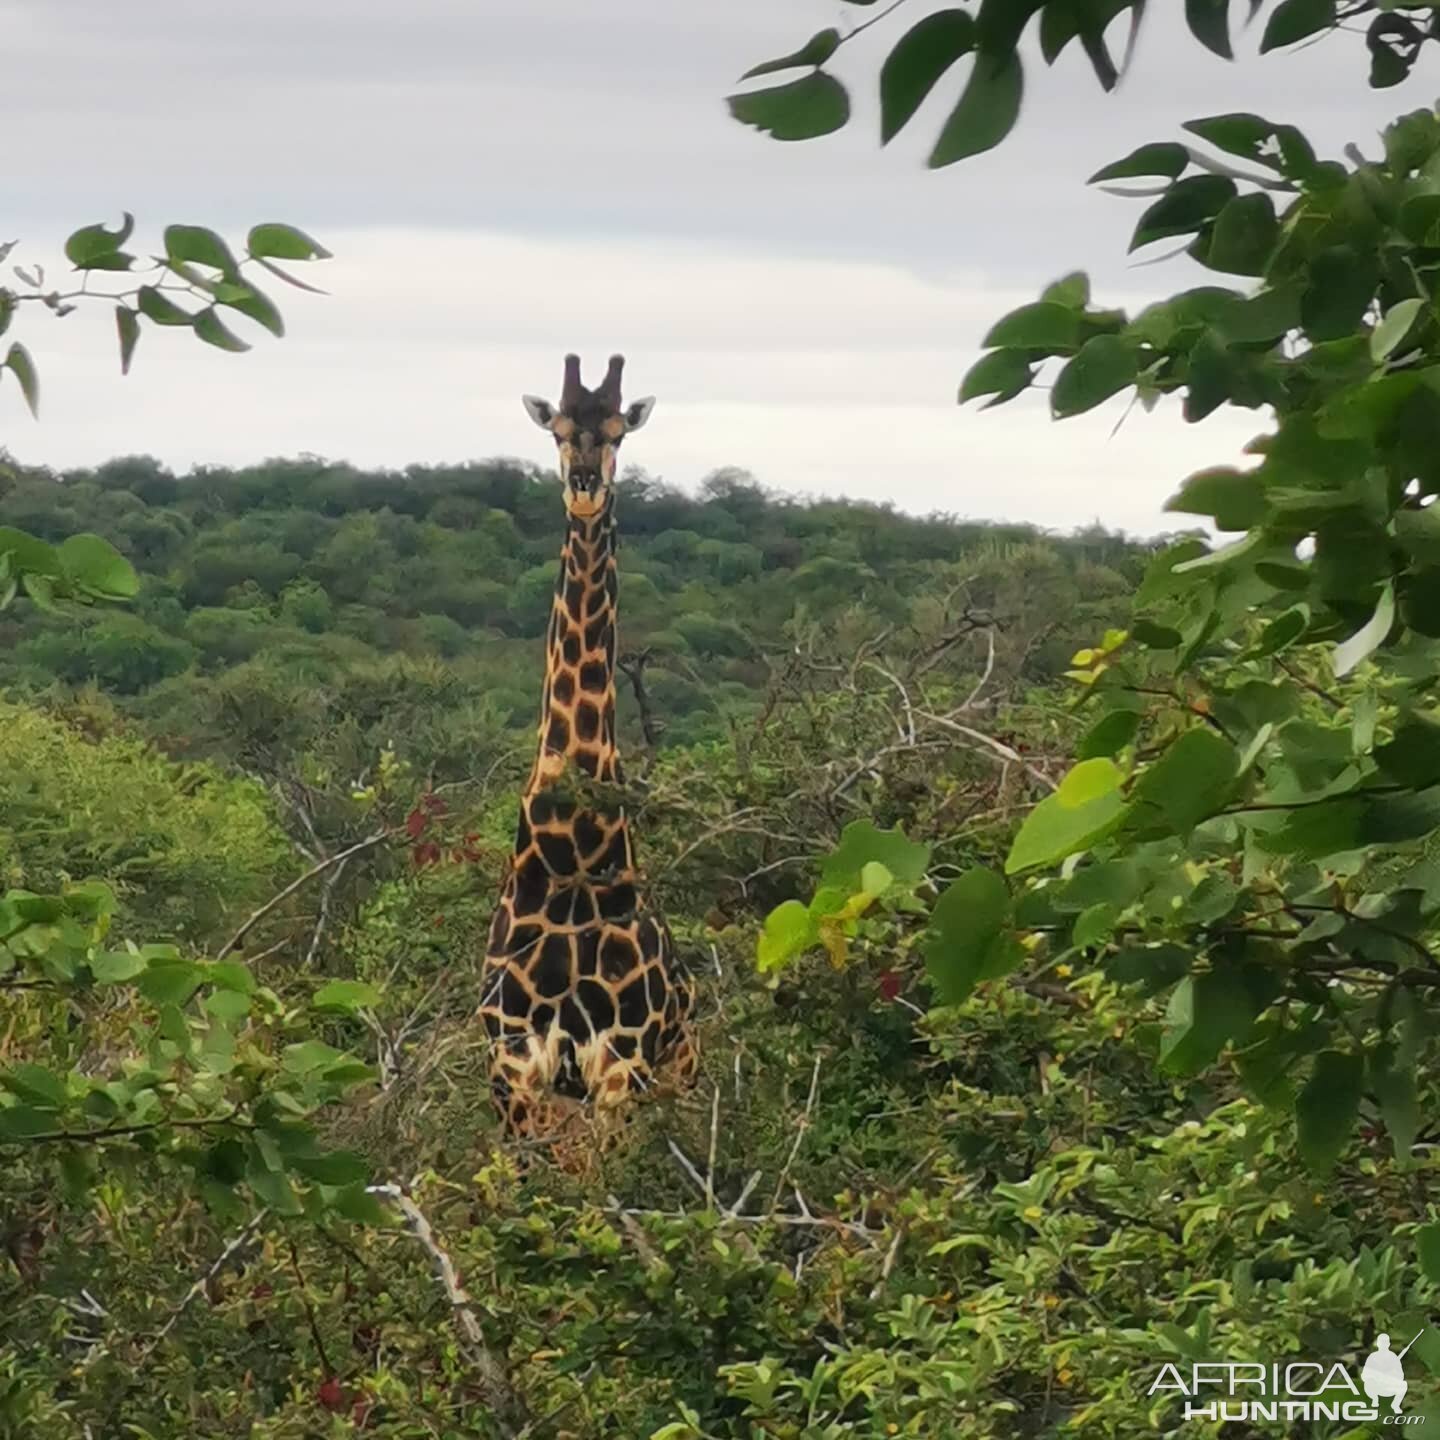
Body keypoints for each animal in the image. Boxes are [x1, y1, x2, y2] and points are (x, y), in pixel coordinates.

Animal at [480, 354, 699, 1152]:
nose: (583, 487)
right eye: (558, 430)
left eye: (617, 432)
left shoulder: (620, 1062)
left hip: (681, 1071)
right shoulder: (513, 1061)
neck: (572, 845)